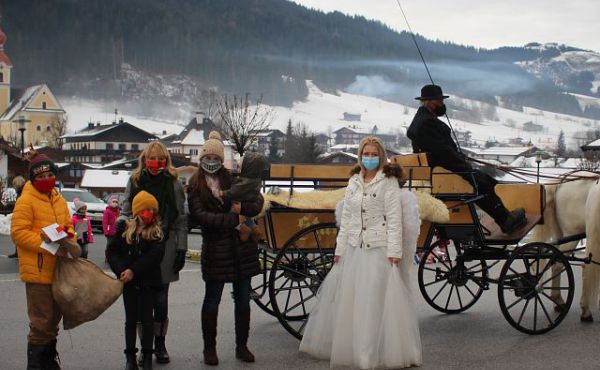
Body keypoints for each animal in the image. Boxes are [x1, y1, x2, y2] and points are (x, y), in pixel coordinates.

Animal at [528, 171, 600, 320]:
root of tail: (562, 180)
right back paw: (584, 310)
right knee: (574, 264)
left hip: (562, 234)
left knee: (558, 262)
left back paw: (558, 301)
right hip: (572, 234)